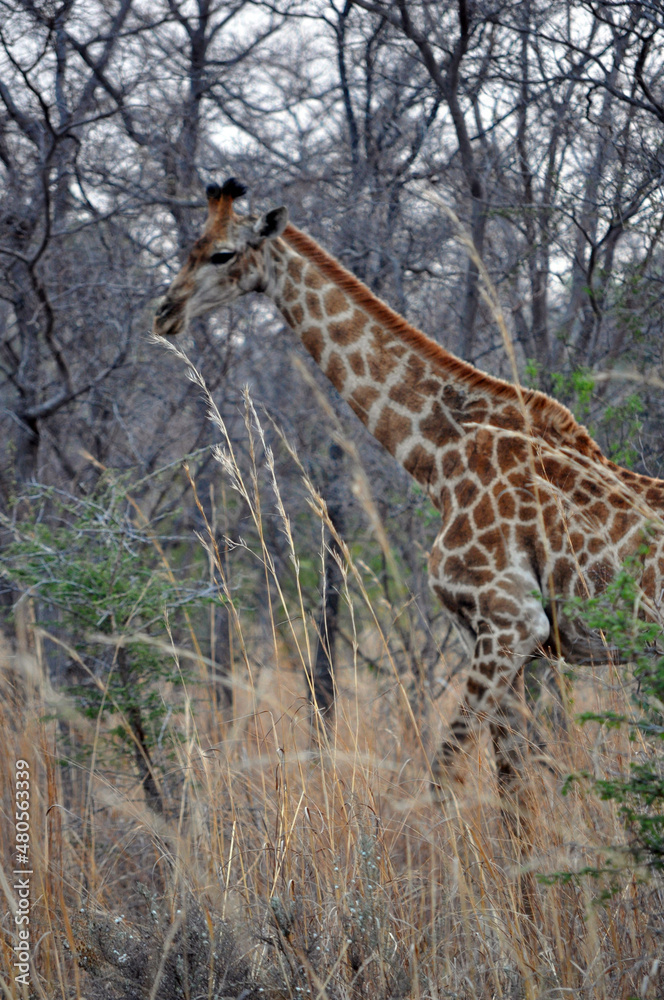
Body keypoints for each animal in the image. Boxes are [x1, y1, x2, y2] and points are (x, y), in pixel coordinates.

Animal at [153, 178, 664, 809]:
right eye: (191, 247)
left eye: (222, 254)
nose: (165, 312)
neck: (440, 458)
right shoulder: (513, 641)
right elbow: (517, 780)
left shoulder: (511, 623)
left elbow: (448, 773)